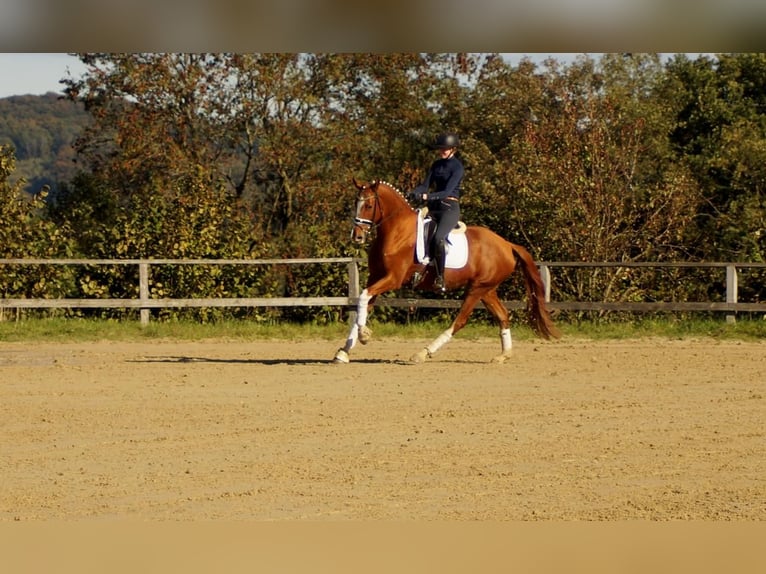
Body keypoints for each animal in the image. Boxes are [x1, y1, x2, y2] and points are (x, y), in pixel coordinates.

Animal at [332, 180, 560, 364]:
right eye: (356, 203)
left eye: (369, 205)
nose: (357, 237)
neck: (397, 231)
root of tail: (507, 244)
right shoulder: (376, 277)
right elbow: (363, 304)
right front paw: (344, 351)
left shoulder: (392, 279)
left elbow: (363, 297)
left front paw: (364, 335)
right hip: (487, 290)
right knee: (503, 316)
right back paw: (503, 355)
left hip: (476, 289)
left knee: (460, 321)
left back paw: (422, 353)